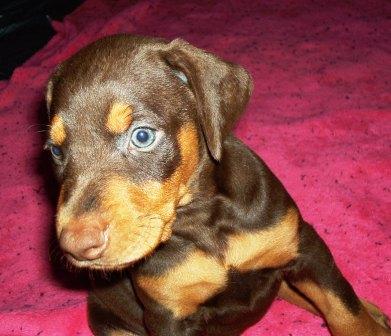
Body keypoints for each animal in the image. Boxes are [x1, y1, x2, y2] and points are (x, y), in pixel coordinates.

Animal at [45, 35, 388, 334]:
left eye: (142, 136)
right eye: (56, 151)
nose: (76, 247)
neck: (202, 220)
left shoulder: (305, 246)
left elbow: (345, 311)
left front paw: (364, 320)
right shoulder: (166, 316)